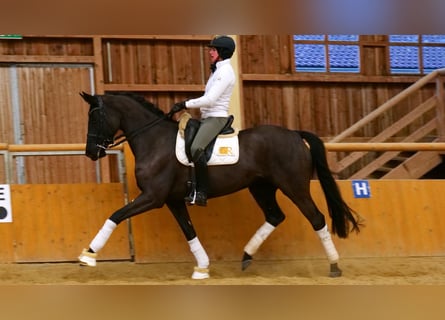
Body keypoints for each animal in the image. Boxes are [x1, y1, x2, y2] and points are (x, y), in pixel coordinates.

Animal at [78, 91, 360, 278]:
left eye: (95, 118)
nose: (91, 152)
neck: (154, 140)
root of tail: (294, 134)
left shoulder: (153, 197)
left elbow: (115, 215)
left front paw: (88, 255)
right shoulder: (172, 200)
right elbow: (189, 231)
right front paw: (202, 267)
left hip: (295, 188)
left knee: (317, 218)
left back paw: (334, 266)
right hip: (261, 187)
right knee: (275, 216)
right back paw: (246, 256)